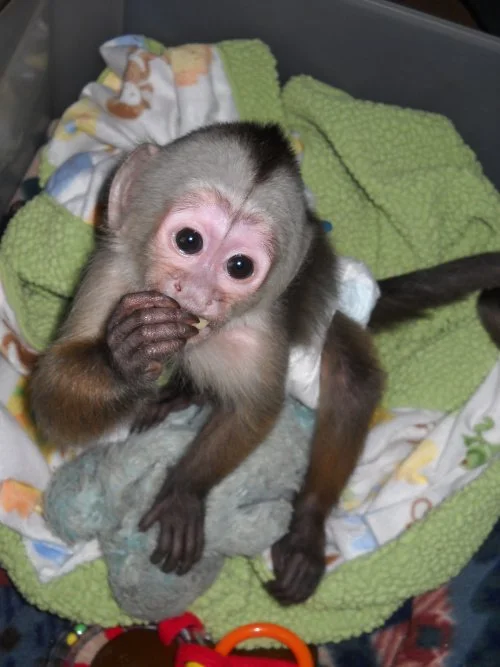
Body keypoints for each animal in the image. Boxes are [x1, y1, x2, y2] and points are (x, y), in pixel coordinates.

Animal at [29, 121, 500, 606]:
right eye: (189, 241)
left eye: (240, 266)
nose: (197, 294)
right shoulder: (113, 274)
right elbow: (50, 395)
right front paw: (124, 355)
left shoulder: (260, 330)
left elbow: (255, 410)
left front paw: (183, 492)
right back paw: (177, 395)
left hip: (332, 317)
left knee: (349, 376)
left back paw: (307, 527)